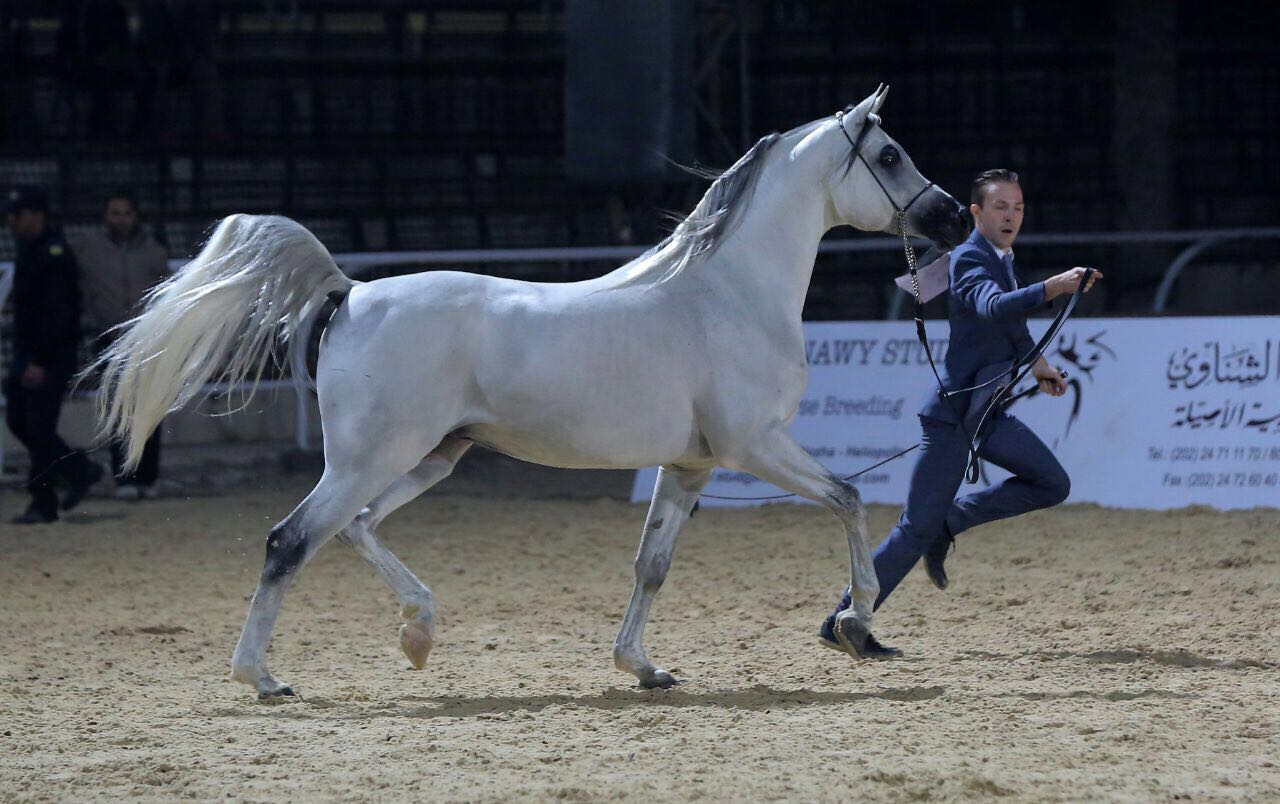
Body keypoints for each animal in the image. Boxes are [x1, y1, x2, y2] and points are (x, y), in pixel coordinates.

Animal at [94, 84, 962, 696]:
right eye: (890, 156)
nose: (951, 216)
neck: (727, 292)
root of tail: (353, 291)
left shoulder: (691, 466)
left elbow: (651, 565)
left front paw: (642, 668)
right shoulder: (756, 446)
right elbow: (849, 496)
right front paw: (855, 621)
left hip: (431, 457)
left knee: (357, 529)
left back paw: (417, 632)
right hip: (370, 459)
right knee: (291, 541)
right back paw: (264, 679)